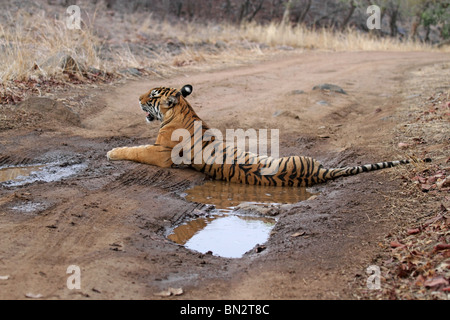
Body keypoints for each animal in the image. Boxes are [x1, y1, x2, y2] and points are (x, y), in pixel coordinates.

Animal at [107, 84, 430, 188]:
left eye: (152, 95)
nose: (137, 99)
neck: (186, 110)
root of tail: (321, 173)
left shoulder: (161, 154)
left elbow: (134, 149)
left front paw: (110, 152)